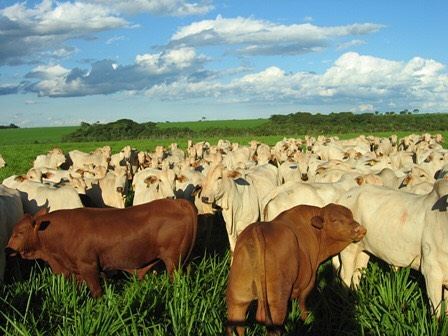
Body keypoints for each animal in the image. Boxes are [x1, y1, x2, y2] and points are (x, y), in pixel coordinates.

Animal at [5, 198, 198, 298]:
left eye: (19, 232)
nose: (7, 249)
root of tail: (180, 202)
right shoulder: (76, 271)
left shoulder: (88, 266)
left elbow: (96, 291)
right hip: (184, 261)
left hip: (173, 261)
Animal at [226, 203, 366, 334]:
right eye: (334, 220)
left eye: (351, 216)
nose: (361, 229)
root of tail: (257, 230)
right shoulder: (307, 284)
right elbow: (303, 306)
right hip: (277, 301)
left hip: (238, 300)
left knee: (236, 324)